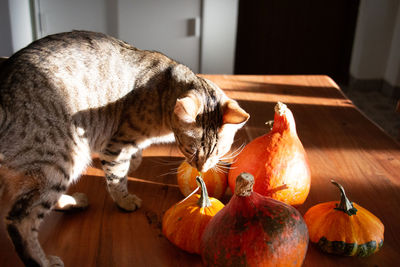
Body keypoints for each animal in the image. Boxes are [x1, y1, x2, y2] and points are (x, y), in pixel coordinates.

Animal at [0, 30, 248, 266]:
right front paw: (124, 200)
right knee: (20, 220)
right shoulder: (117, 144)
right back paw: (43, 261)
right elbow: (117, 177)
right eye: (191, 151)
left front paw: (136, 163)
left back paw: (73, 202)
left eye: (219, 152)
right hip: (63, 159)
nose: (202, 168)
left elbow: (134, 158)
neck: (165, 90)